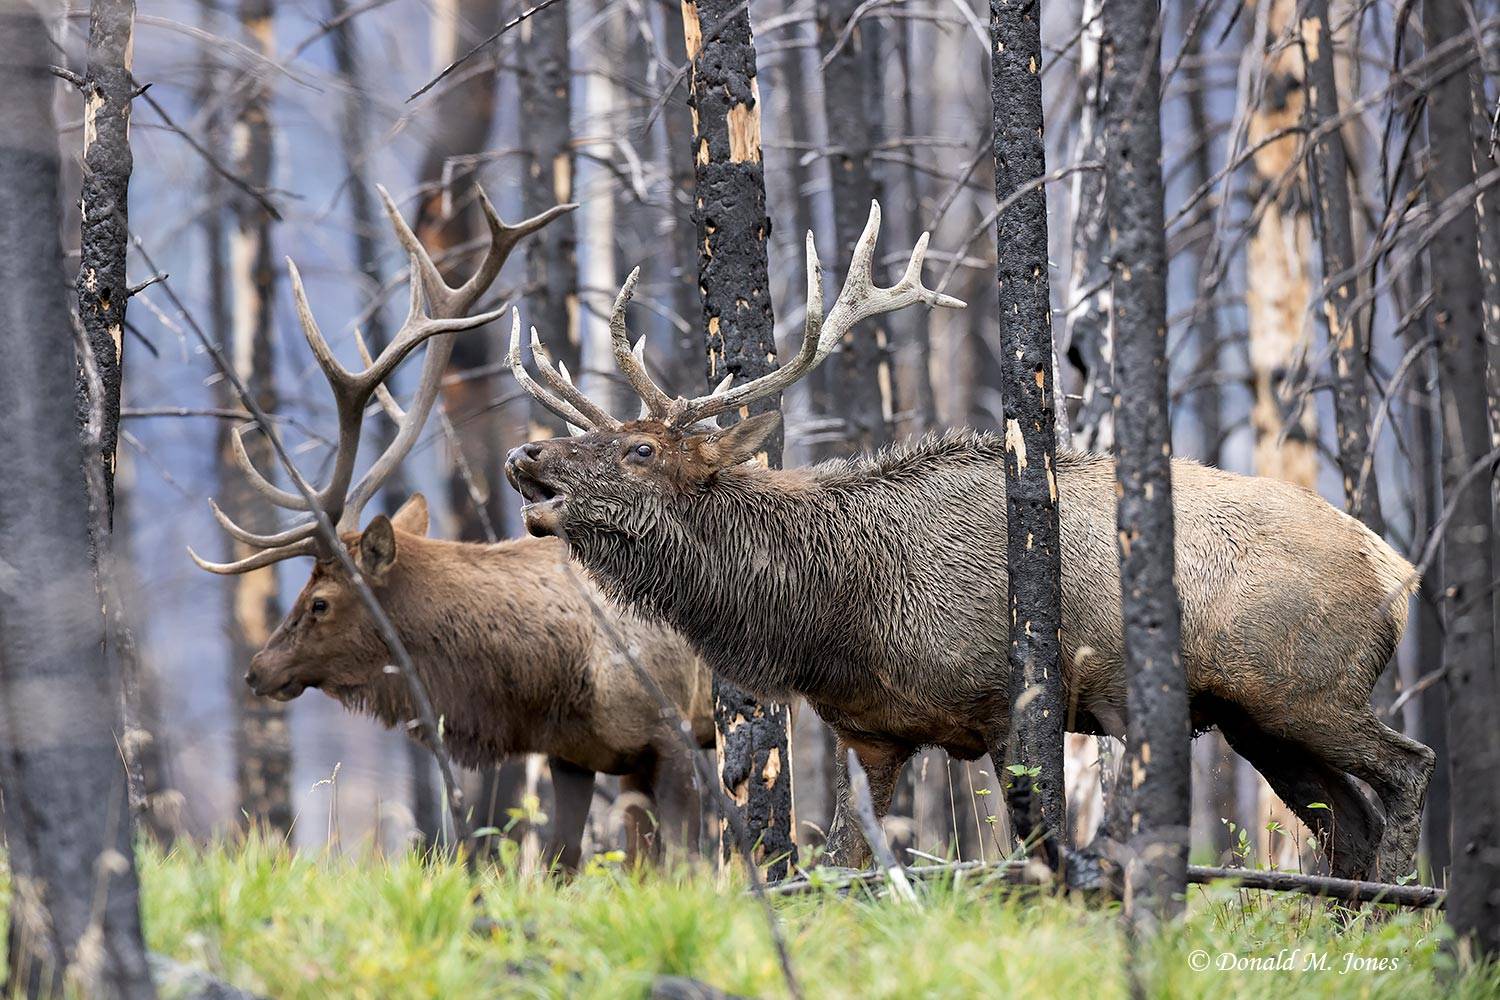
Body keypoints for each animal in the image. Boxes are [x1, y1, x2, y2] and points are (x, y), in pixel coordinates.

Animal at [189, 186, 714, 869]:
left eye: (320, 601)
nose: (257, 670)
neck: (558, 673)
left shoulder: (672, 732)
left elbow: (685, 863)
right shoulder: (575, 752)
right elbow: (565, 862)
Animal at [503, 202, 1434, 885]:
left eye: (640, 448)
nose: (526, 455)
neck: (836, 615)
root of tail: (1400, 569)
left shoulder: (1005, 703)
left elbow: (1022, 853)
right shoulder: (874, 734)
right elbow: (846, 868)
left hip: (1307, 688)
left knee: (1408, 768)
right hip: (1254, 717)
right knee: (1346, 823)